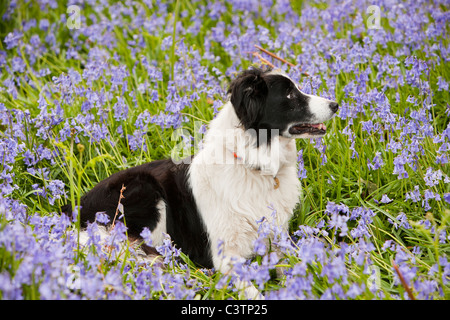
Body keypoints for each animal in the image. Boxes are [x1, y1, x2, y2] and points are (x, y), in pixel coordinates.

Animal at [64, 67, 338, 298]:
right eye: (290, 94)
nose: (335, 104)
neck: (254, 167)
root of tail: (71, 214)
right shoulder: (224, 256)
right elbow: (252, 289)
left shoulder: (277, 238)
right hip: (146, 191)